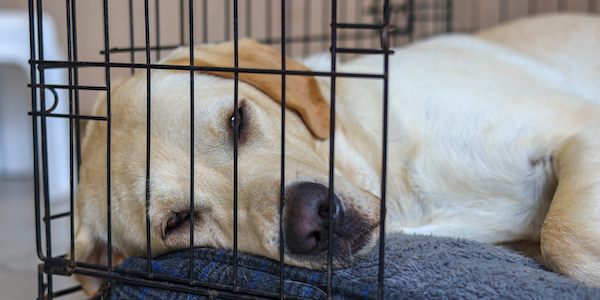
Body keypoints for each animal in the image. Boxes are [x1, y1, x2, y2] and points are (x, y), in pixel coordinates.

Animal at [71, 12, 600, 294]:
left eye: (236, 118)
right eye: (177, 222)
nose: (312, 218)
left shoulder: (579, 128)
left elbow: (561, 233)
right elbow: (557, 237)